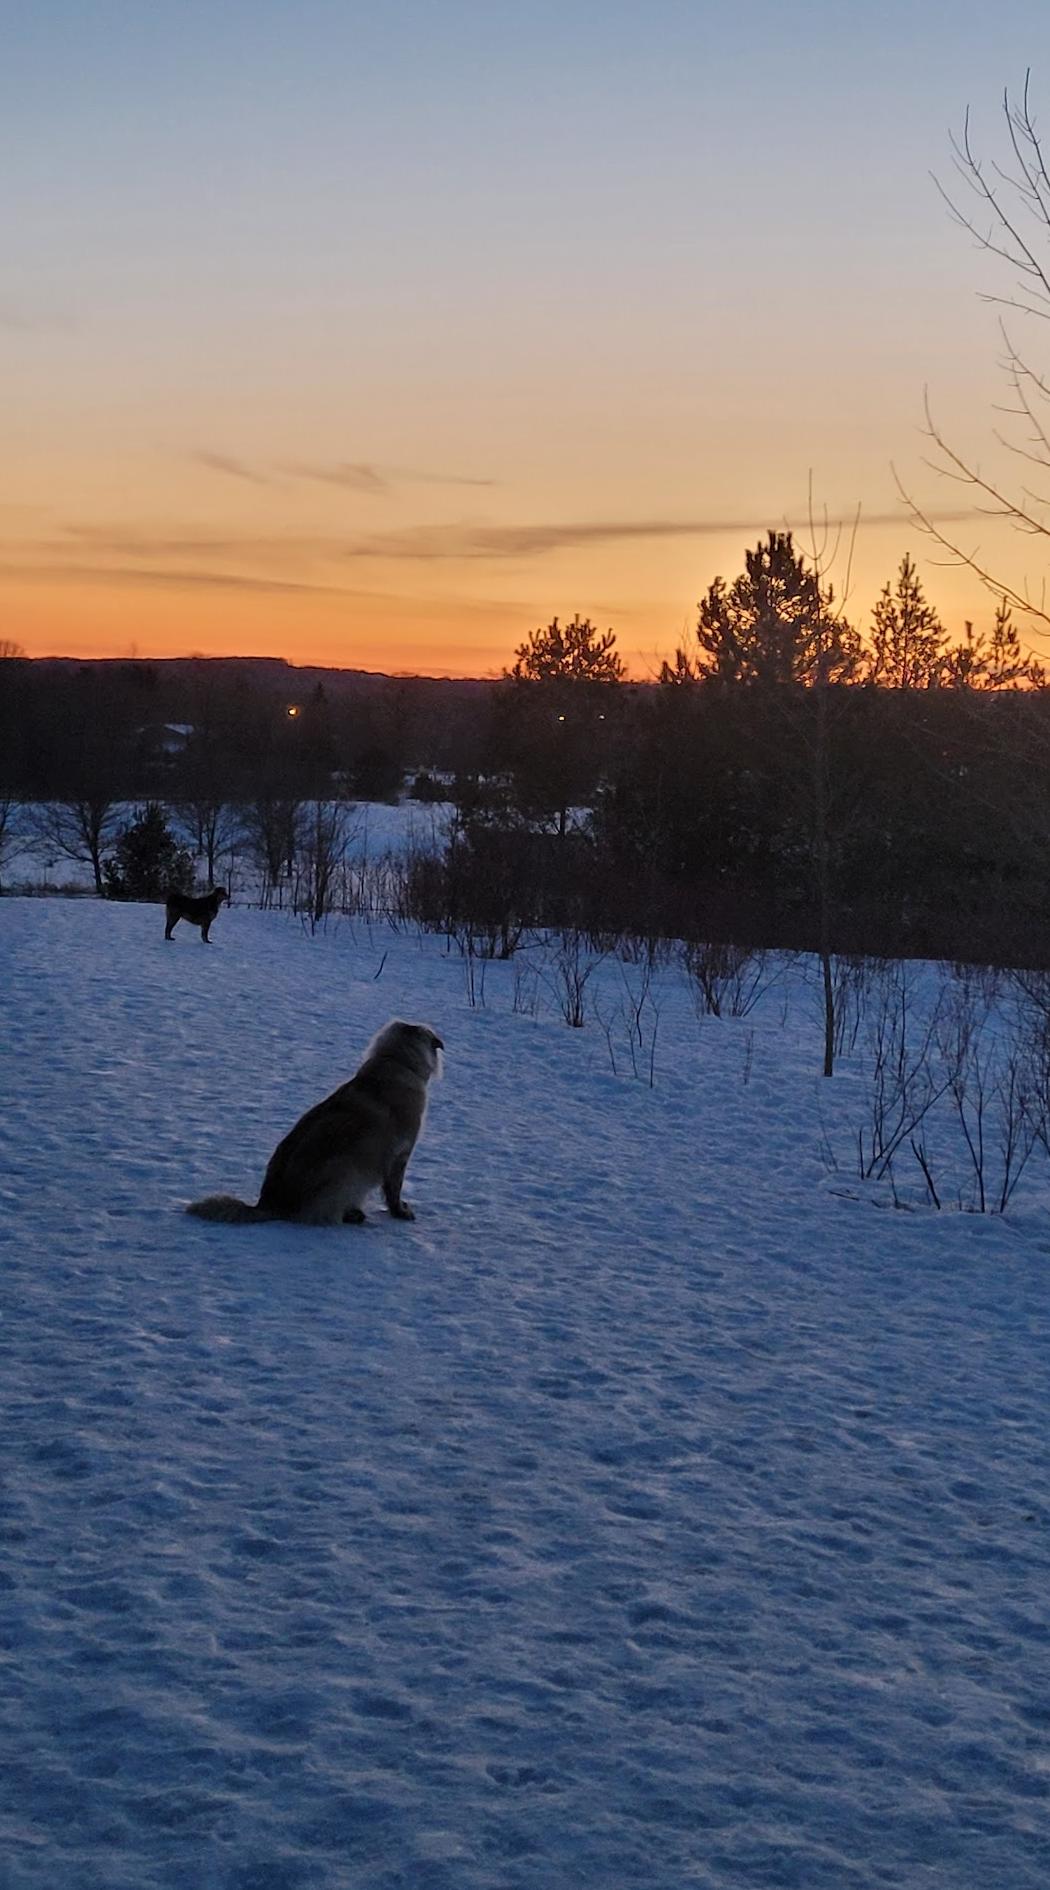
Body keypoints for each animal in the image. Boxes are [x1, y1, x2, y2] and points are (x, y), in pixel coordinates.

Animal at [188, 1020, 443, 1224]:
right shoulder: (400, 1154)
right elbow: (393, 1191)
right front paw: (401, 1212)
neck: (397, 1061)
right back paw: (352, 1216)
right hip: (345, 1169)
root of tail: (269, 1205)